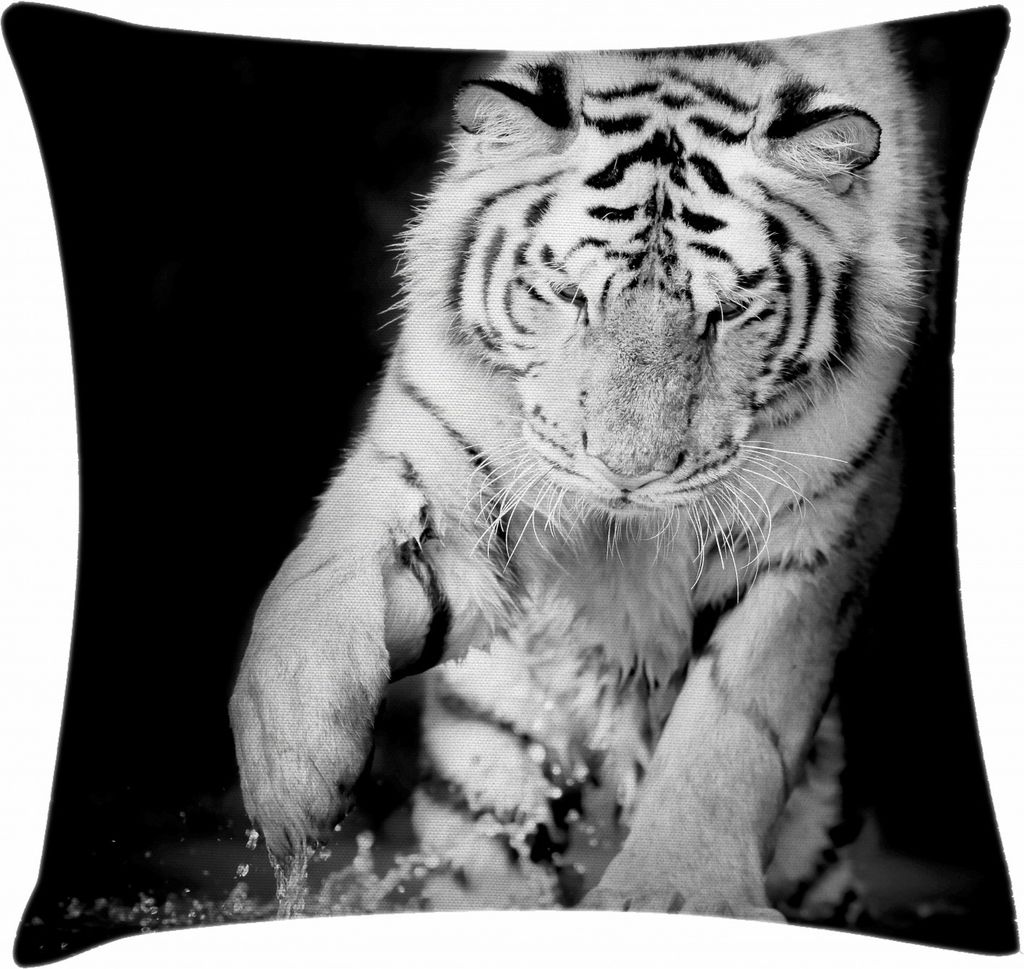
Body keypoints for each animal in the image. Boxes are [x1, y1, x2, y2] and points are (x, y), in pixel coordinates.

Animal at [229, 22, 936, 921]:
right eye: (569, 294)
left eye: (728, 312)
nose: (627, 470)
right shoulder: (442, 467)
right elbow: (316, 583)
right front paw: (291, 785)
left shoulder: (820, 531)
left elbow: (733, 724)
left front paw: (678, 889)